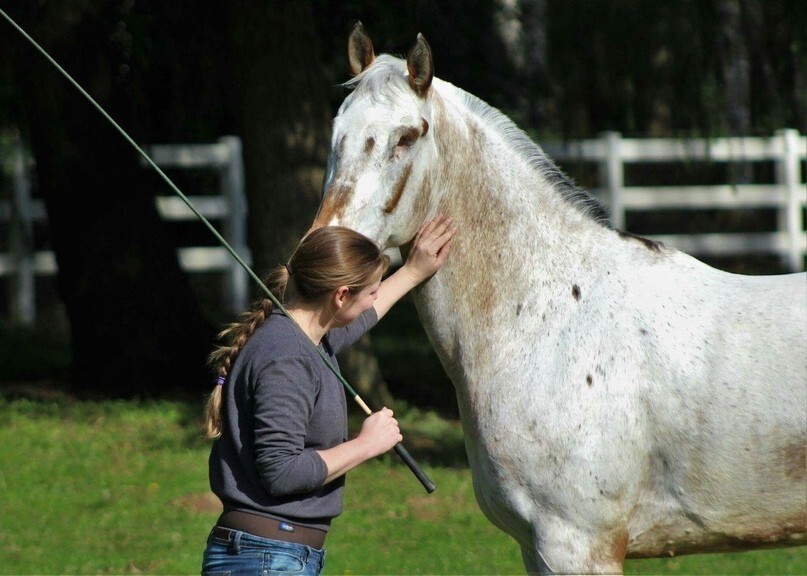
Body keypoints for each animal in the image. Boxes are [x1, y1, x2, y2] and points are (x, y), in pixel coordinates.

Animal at [310, 23, 807, 576]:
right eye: (337, 132)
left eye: (407, 137)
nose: (321, 254)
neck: (549, 316)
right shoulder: (538, 548)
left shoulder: (576, 544)